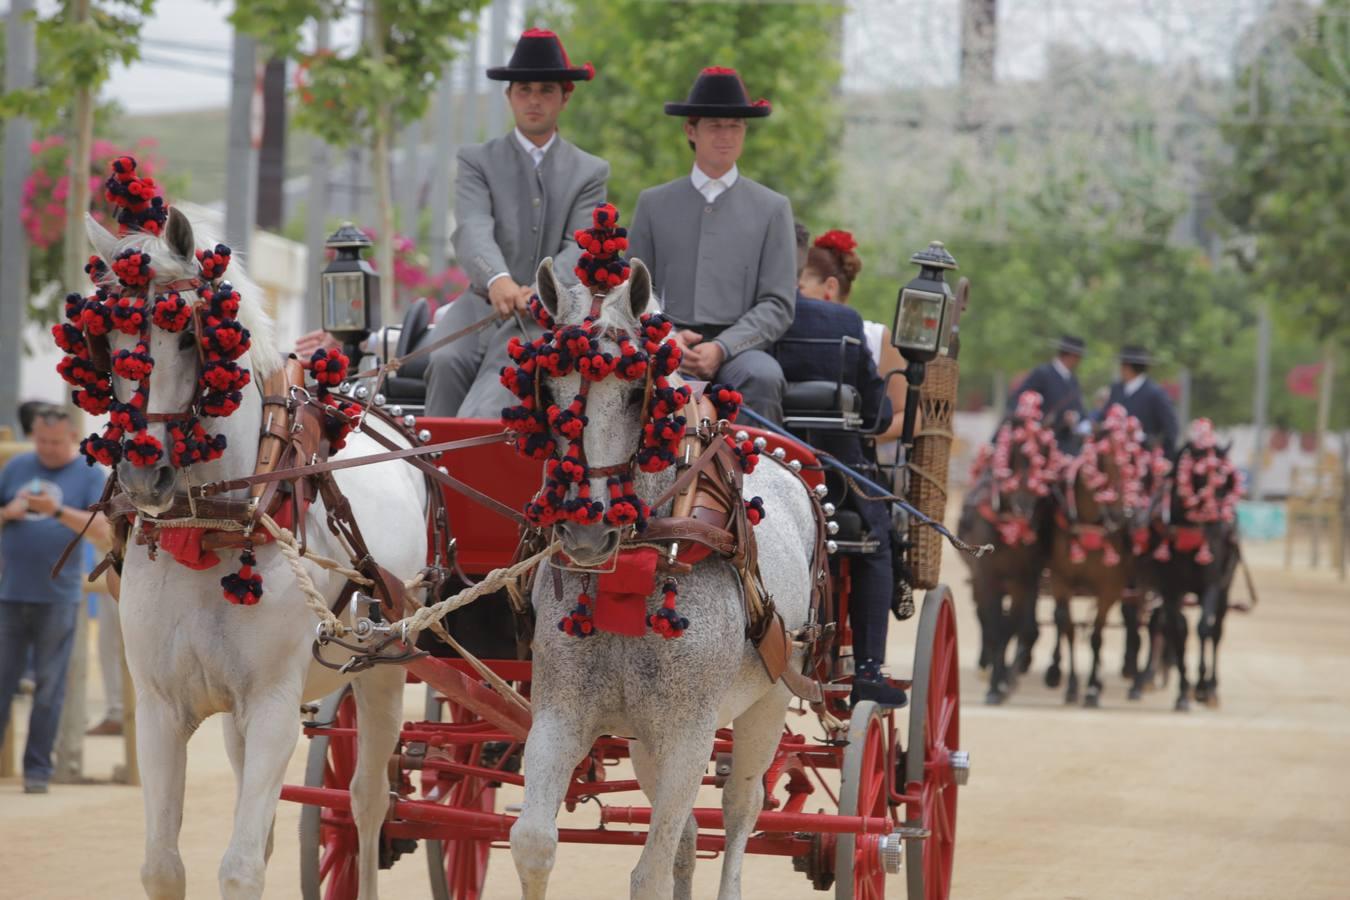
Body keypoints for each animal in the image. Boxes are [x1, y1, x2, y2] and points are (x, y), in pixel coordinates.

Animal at [87, 206, 423, 900]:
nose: (143, 476)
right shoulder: (162, 707)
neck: (209, 528)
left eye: (191, 340)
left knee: (366, 802)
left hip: (384, 668)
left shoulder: (272, 706)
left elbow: (241, 867)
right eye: (109, 342)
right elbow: (164, 865)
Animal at [510, 259, 815, 900]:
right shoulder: (561, 714)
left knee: (739, 810)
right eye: (547, 391)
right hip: (645, 736)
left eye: (634, 392)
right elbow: (534, 843)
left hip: (768, 702)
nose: (585, 530)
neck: (638, 563)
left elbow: (647, 874)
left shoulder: (688, 736)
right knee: (689, 836)